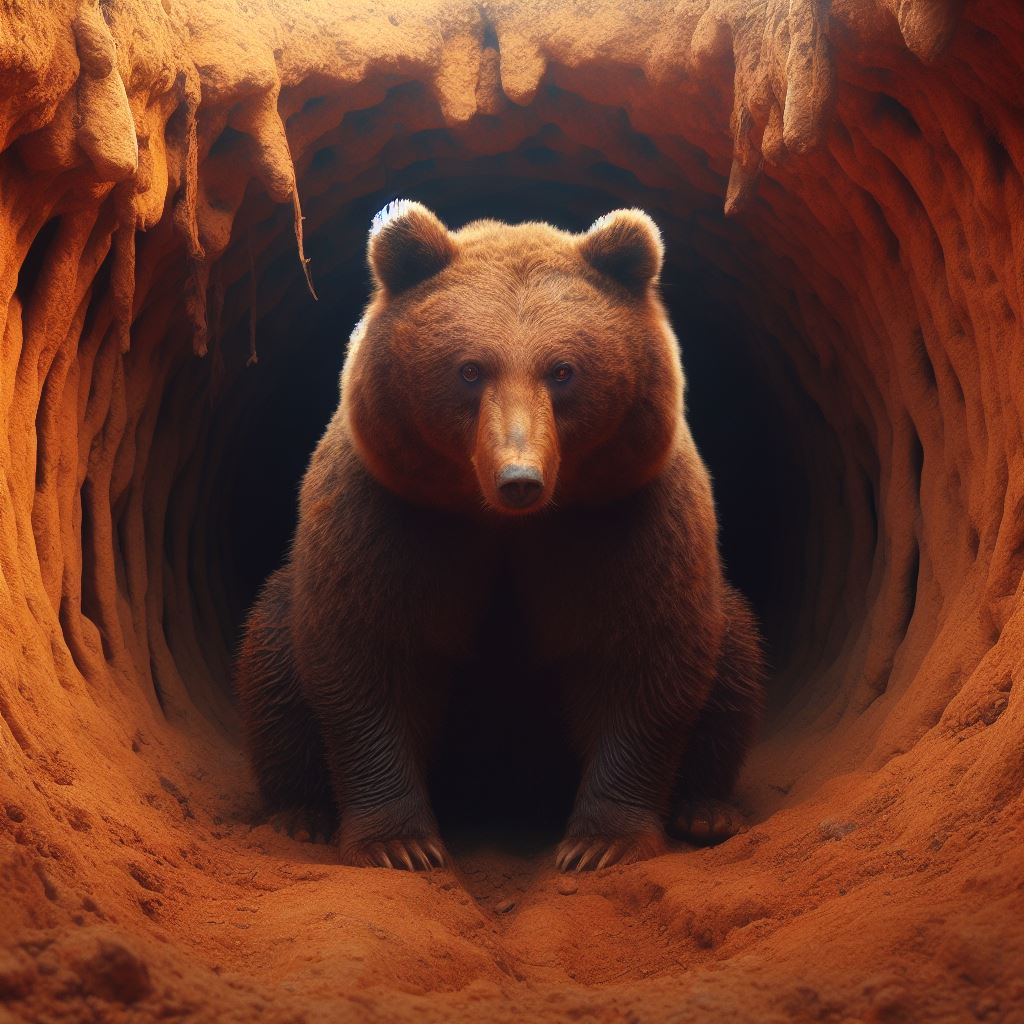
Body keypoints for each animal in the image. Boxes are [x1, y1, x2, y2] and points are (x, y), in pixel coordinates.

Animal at [235, 200, 766, 872]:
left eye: (562, 371)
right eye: (469, 370)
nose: (520, 478)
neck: (501, 520)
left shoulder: (624, 518)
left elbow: (646, 657)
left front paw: (599, 842)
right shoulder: (391, 516)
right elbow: (366, 655)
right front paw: (401, 844)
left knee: (736, 653)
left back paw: (706, 811)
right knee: (272, 653)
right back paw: (300, 814)